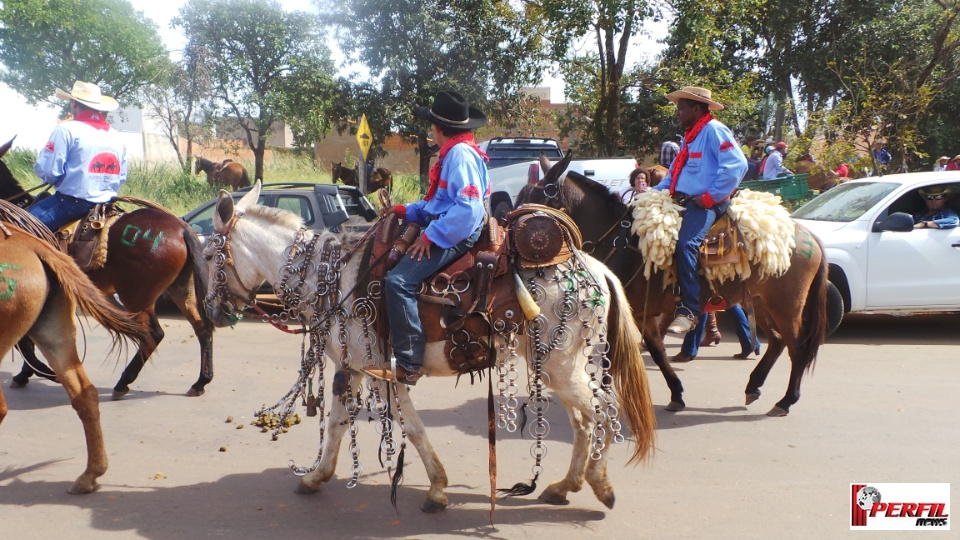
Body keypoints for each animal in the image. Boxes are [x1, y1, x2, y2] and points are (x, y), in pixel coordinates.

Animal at [1, 143, 216, 396]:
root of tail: (182, 228)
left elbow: (27, 338)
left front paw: (37, 372)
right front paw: (31, 371)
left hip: (137, 296)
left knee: (153, 334)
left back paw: (124, 382)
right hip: (181, 287)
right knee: (202, 328)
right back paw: (201, 382)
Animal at [201, 184, 652, 512]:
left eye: (208, 255)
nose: (211, 310)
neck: (329, 276)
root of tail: (597, 269)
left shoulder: (383, 371)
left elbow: (413, 428)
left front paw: (437, 488)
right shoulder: (355, 366)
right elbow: (339, 421)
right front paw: (316, 477)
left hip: (559, 364)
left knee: (603, 411)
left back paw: (599, 484)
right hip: (561, 364)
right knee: (584, 421)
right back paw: (564, 485)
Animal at [516, 154, 824, 416]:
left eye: (538, 200)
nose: (510, 237)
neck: (619, 242)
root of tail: (807, 234)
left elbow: (616, 355)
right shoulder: (644, 315)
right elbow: (656, 352)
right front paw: (676, 394)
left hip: (786, 306)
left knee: (796, 347)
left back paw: (785, 400)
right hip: (761, 303)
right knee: (778, 341)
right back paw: (754, 386)